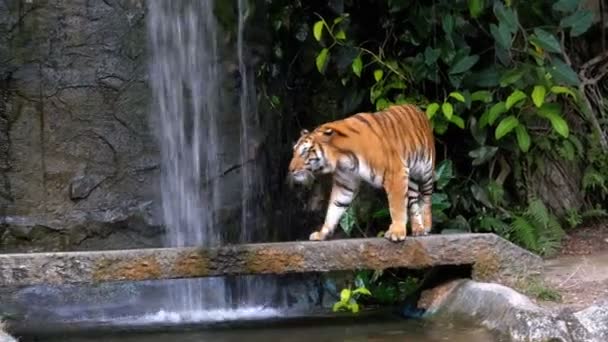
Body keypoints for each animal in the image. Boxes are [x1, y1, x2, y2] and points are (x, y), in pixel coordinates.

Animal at [288, 103, 434, 242]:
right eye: (294, 151)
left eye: (305, 152)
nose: (290, 169)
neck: (341, 157)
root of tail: (417, 108)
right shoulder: (345, 183)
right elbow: (334, 208)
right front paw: (322, 233)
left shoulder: (396, 174)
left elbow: (397, 207)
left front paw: (396, 232)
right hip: (410, 181)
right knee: (413, 203)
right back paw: (418, 229)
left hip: (426, 171)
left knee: (426, 197)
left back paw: (426, 226)